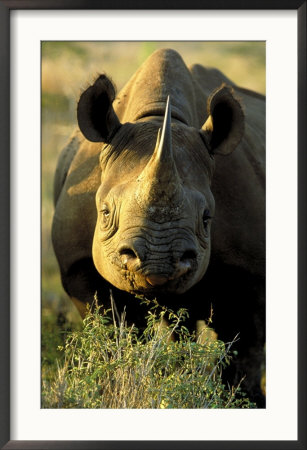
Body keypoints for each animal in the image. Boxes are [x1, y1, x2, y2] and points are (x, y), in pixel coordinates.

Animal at [51, 50, 266, 408]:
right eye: (104, 213)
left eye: (207, 218)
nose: (158, 263)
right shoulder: (79, 267)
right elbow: (114, 337)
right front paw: (113, 391)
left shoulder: (249, 274)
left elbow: (243, 352)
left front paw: (241, 400)